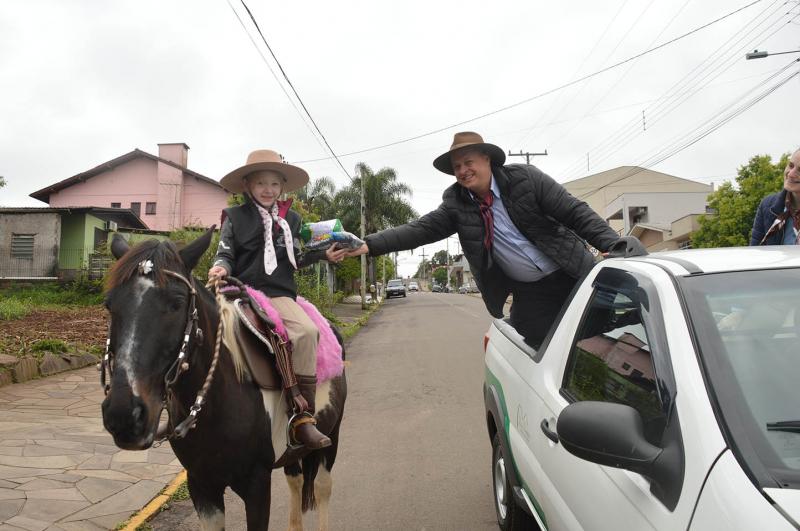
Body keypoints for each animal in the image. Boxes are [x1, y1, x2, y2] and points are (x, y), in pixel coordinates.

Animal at [98, 233, 346, 531]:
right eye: (110, 304)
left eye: (177, 303)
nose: (124, 415)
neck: (216, 402)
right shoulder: (201, 484)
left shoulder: (257, 485)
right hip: (293, 453)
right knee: (296, 481)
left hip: (331, 436)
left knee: (322, 487)